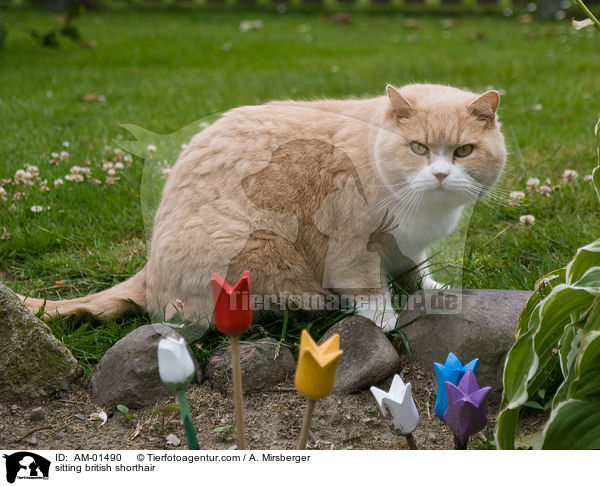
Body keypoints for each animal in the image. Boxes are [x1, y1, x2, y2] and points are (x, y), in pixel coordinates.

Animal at [19, 85, 506, 332]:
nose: (440, 174)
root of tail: (148, 268)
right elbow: (370, 290)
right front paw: (385, 320)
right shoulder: (352, 244)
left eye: (463, 151)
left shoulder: (408, 246)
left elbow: (415, 269)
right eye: (418, 148)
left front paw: (433, 288)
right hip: (264, 250)